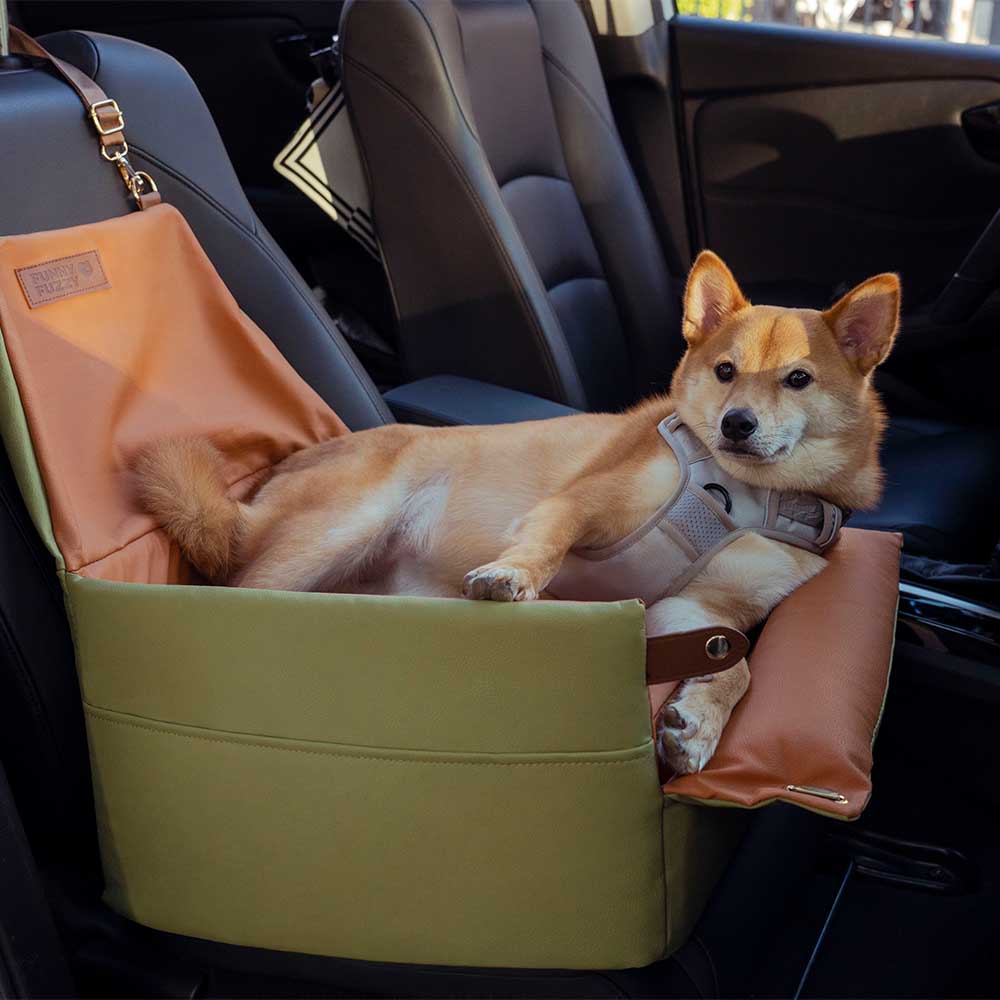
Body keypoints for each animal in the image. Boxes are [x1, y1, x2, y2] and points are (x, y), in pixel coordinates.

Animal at [137, 250, 904, 772]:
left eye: (797, 379)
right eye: (724, 372)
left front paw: (698, 724)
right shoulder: (584, 502)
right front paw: (513, 576)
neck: (745, 494)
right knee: (238, 596)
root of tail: (260, 492)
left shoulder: (695, 610)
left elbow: (737, 666)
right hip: (341, 527)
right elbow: (545, 541)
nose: (736, 424)